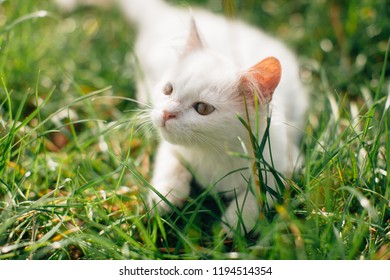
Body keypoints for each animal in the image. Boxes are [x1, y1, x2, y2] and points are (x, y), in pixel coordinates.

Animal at [57, 0, 308, 234]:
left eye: (203, 108)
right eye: (168, 90)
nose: (167, 113)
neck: (213, 153)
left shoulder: (286, 165)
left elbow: (259, 195)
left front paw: (234, 223)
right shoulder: (170, 148)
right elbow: (170, 164)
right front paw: (165, 197)